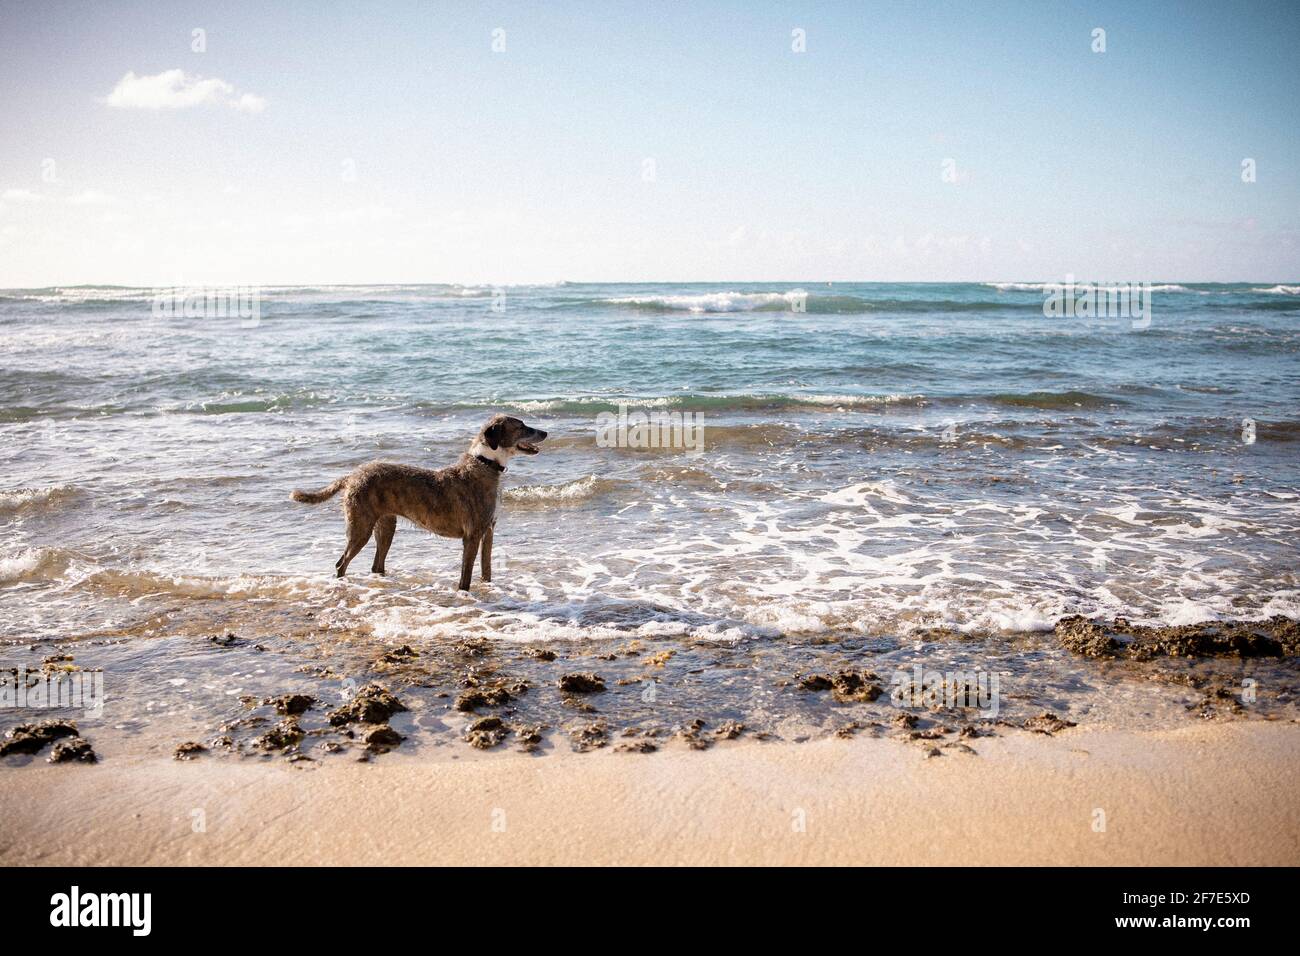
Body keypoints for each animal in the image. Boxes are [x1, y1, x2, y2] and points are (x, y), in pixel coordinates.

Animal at [292, 413, 546, 587]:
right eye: (521, 426)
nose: (545, 433)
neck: (485, 463)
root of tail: (353, 475)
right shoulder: (472, 535)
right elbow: (465, 576)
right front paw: (464, 593)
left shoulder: (488, 531)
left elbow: (487, 569)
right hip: (360, 527)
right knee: (341, 562)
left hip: (386, 524)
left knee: (376, 564)